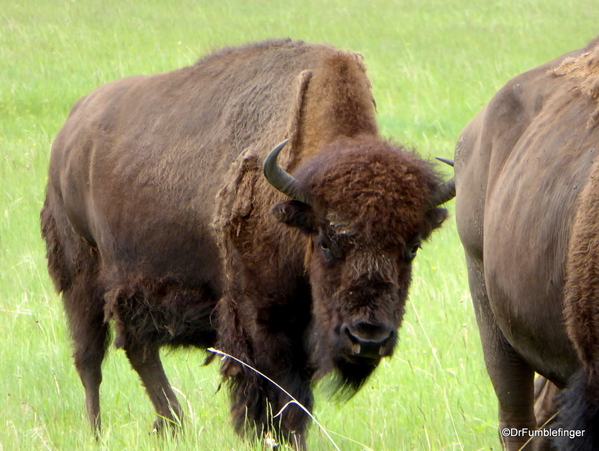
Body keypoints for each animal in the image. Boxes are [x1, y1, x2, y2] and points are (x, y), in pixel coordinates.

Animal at [41, 38, 454, 448]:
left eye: (412, 247)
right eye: (325, 241)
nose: (368, 337)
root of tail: (70, 130)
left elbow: (296, 398)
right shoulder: (260, 316)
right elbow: (279, 390)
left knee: (140, 351)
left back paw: (172, 424)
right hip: (82, 278)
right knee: (91, 359)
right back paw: (97, 432)